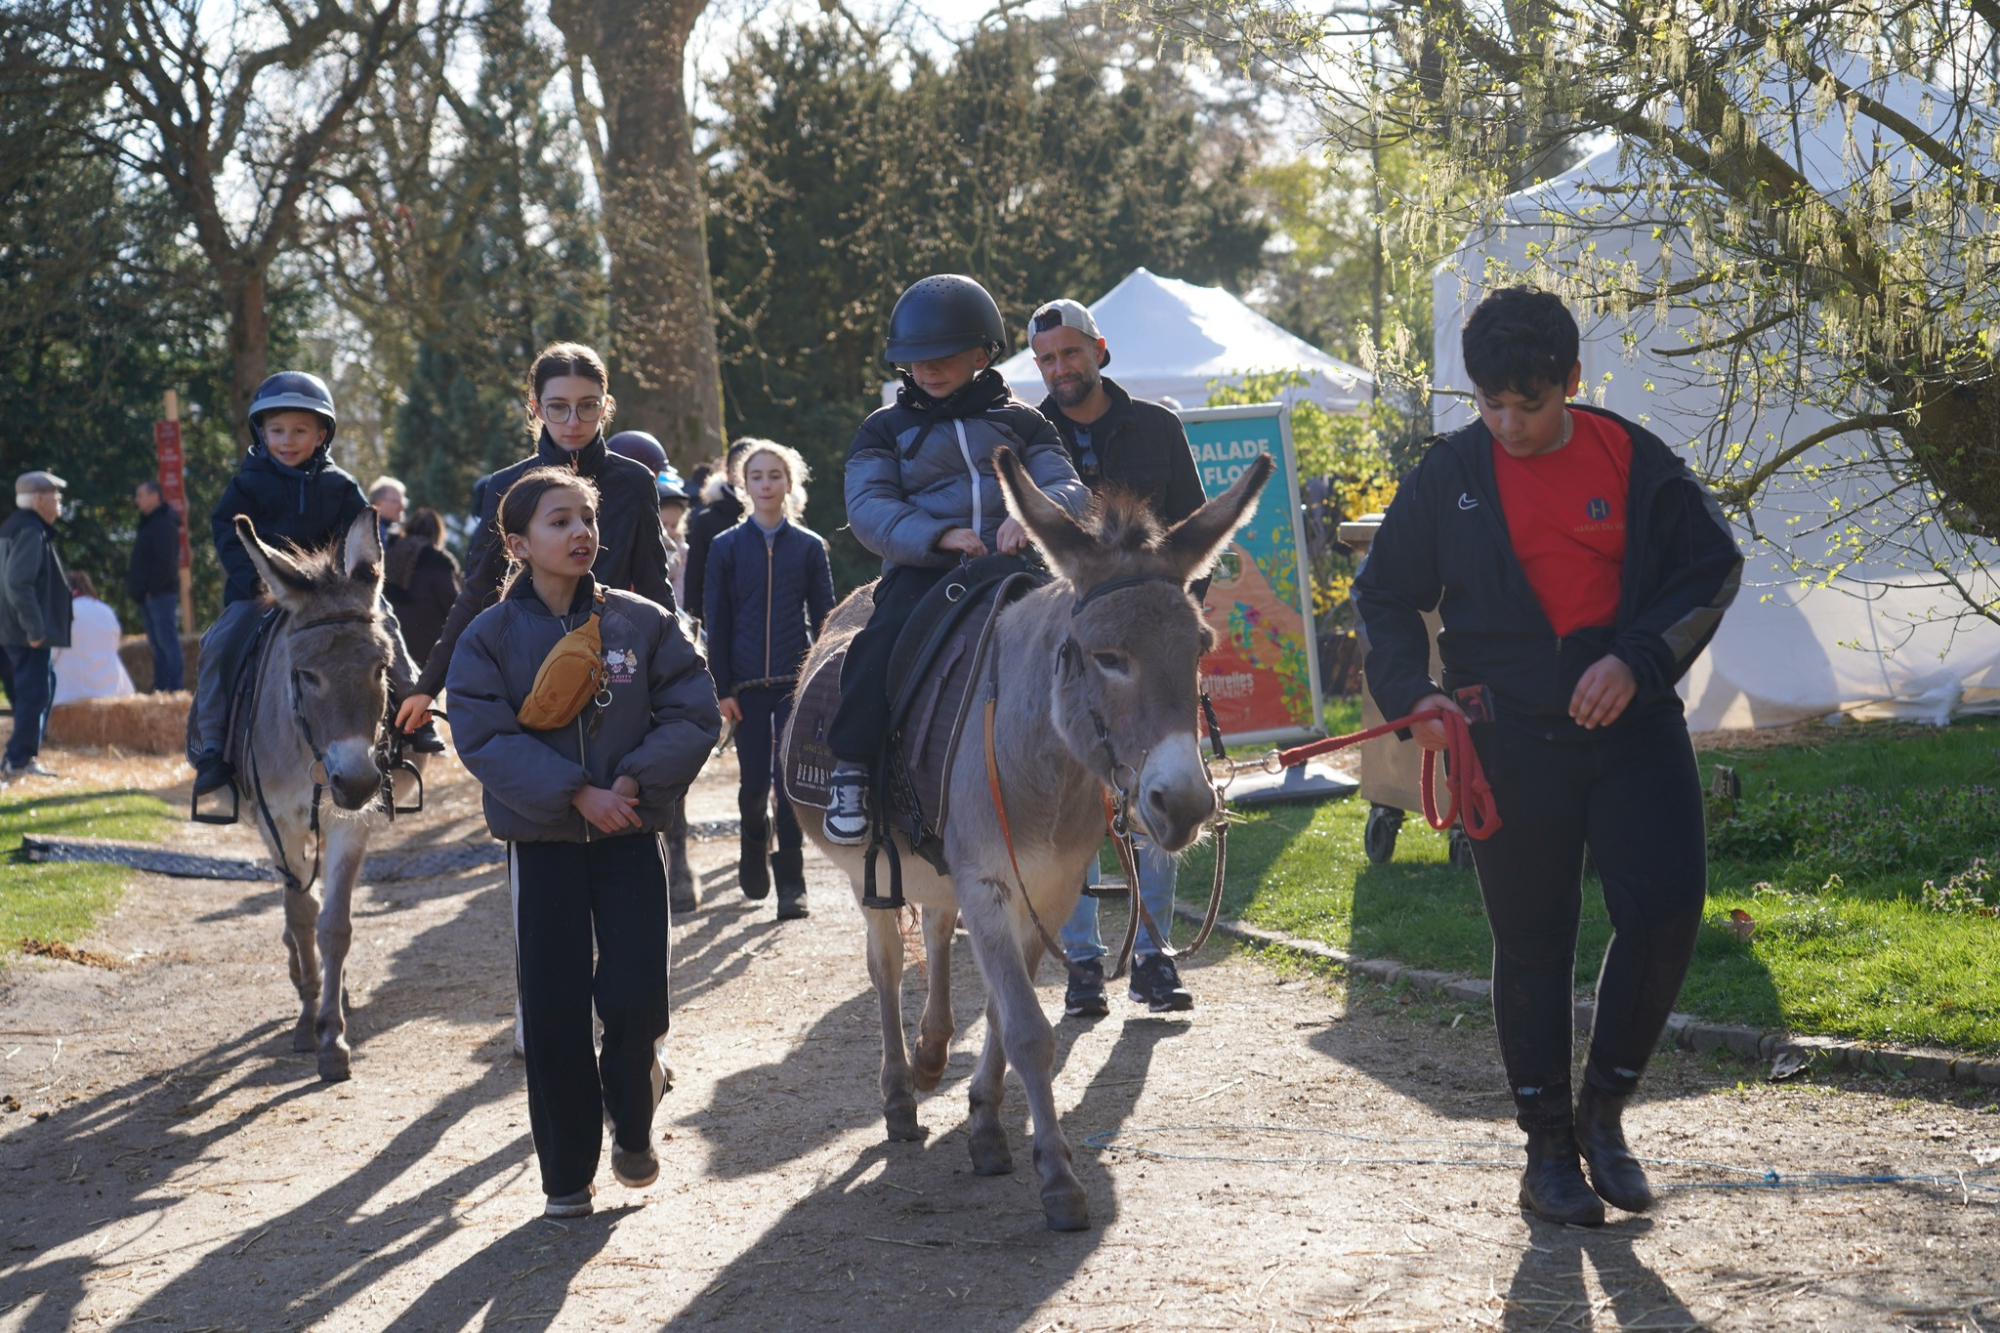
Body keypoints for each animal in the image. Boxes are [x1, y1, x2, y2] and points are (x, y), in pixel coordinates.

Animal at [225, 510, 424, 1082]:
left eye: (381, 668)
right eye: (306, 674)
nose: (355, 782)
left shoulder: (349, 822)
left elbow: (333, 925)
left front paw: (332, 1035)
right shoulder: (278, 822)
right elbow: (300, 912)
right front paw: (308, 1016)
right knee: (294, 905)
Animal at [794, 447, 1272, 1231]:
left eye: (1200, 647)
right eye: (1104, 655)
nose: (1185, 802)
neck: (1043, 757)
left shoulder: (1047, 888)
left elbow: (1000, 1009)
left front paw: (987, 1124)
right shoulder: (991, 882)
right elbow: (1025, 1029)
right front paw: (1057, 1179)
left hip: (942, 872)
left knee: (935, 931)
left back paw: (932, 1051)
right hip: (872, 871)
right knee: (885, 965)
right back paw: (899, 1093)